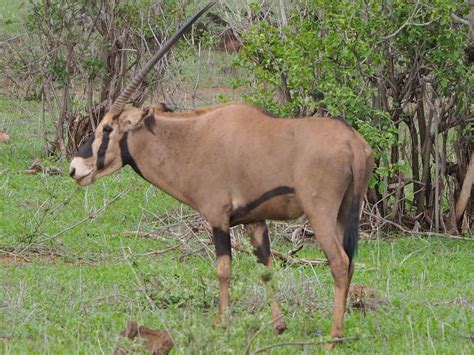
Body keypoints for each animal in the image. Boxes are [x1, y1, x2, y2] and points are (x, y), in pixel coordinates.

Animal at [70, 2, 374, 342]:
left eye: (107, 128)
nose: (75, 168)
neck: (192, 139)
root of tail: (352, 142)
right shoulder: (255, 221)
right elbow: (266, 268)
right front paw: (279, 325)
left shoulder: (217, 217)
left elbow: (223, 269)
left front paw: (221, 324)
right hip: (345, 211)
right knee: (349, 263)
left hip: (320, 212)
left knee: (339, 262)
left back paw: (334, 336)